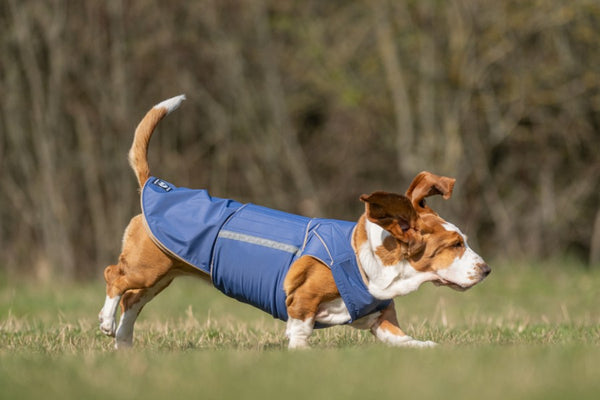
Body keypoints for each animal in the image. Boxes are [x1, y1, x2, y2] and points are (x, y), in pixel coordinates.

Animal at [98, 95, 490, 348]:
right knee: (114, 278)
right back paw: (105, 321)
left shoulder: (381, 322)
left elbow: (403, 340)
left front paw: (429, 349)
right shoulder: (302, 301)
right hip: (145, 268)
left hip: (161, 276)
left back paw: (124, 345)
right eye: (454, 245)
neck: (372, 262)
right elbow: (300, 333)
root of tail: (154, 183)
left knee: (132, 303)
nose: (487, 271)